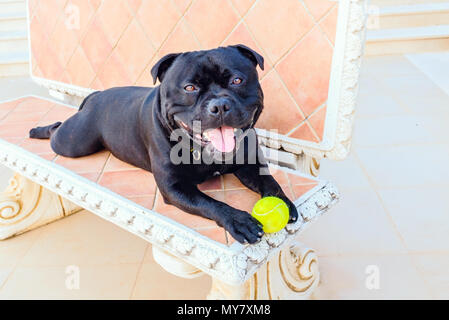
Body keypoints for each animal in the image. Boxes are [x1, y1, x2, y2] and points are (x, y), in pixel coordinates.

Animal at [30, 45, 298, 244]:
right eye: (189, 87)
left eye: (237, 80)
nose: (219, 105)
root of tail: (96, 95)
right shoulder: (175, 187)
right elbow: (210, 203)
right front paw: (238, 220)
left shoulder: (250, 166)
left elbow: (270, 183)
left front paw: (284, 202)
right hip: (74, 142)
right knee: (58, 131)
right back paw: (37, 130)